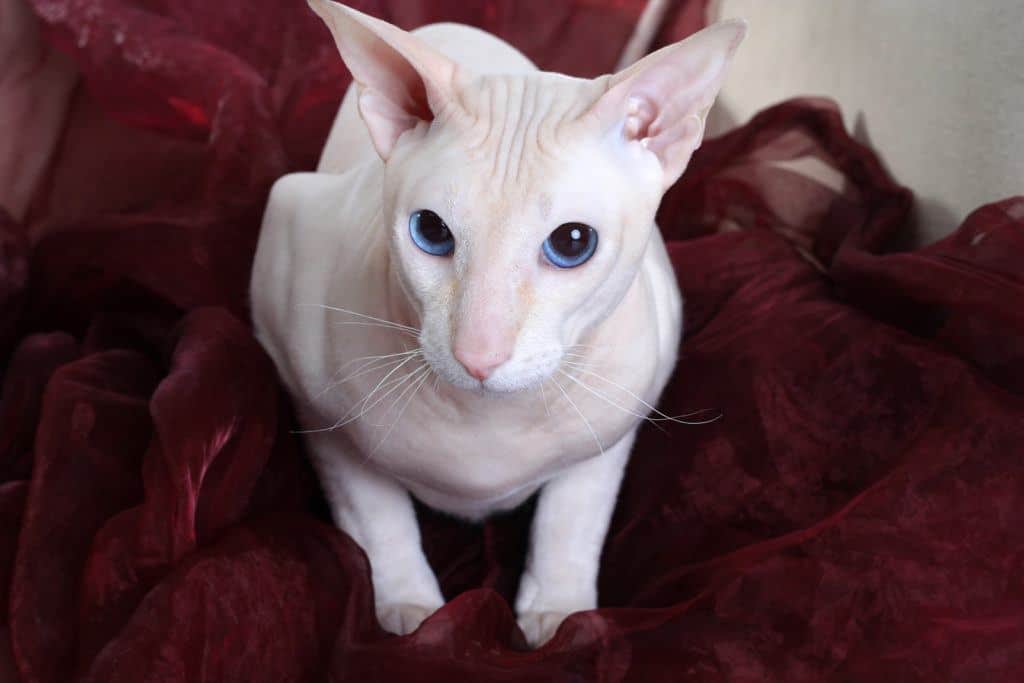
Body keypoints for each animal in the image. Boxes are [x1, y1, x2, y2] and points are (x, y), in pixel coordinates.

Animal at [247, 0, 745, 651]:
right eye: (431, 231)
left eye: (573, 243)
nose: (478, 354)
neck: (488, 423)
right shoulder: (318, 413)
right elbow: (376, 518)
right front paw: (412, 613)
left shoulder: (615, 428)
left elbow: (571, 519)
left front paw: (560, 613)